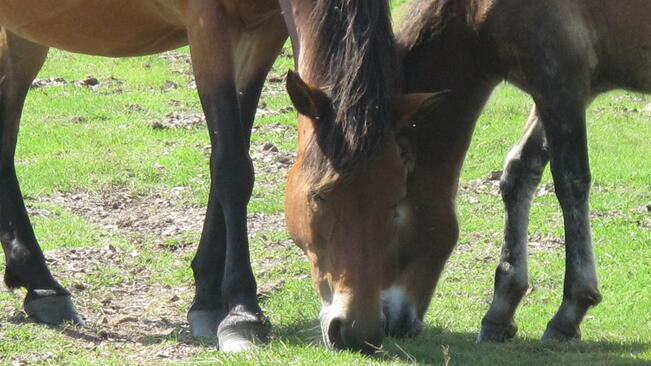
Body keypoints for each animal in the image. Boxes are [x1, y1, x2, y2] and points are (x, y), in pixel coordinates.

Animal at [0, 0, 402, 354]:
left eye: (397, 200)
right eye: (318, 196)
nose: (356, 329)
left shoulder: (263, 34)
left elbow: (233, 152)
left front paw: (207, 299)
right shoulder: (209, 30)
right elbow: (233, 168)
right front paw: (243, 315)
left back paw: (39, 286)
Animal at [398, 0, 651, 344]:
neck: (472, 10)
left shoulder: (559, 79)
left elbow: (570, 180)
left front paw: (570, 311)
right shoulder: (562, 89)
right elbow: (519, 172)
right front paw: (500, 311)